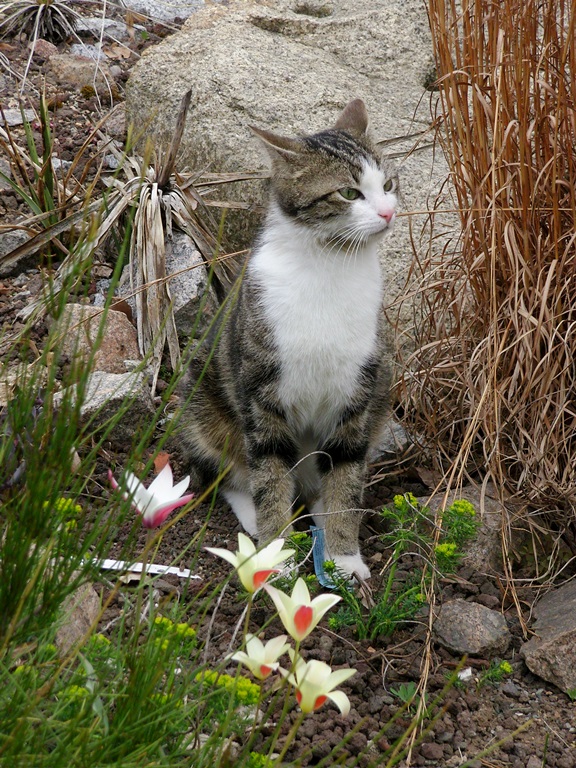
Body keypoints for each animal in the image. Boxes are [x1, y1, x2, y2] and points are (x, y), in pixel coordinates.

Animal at [178, 99, 398, 580]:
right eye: (349, 193)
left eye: (389, 184)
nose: (388, 212)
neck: (330, 266)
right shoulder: (262, 392)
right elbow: (269, 474)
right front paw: (274, 552)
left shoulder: (357, 393)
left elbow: (345, 476)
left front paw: (344, 556)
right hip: (203, 400)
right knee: (232, 470)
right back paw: (252, 520)